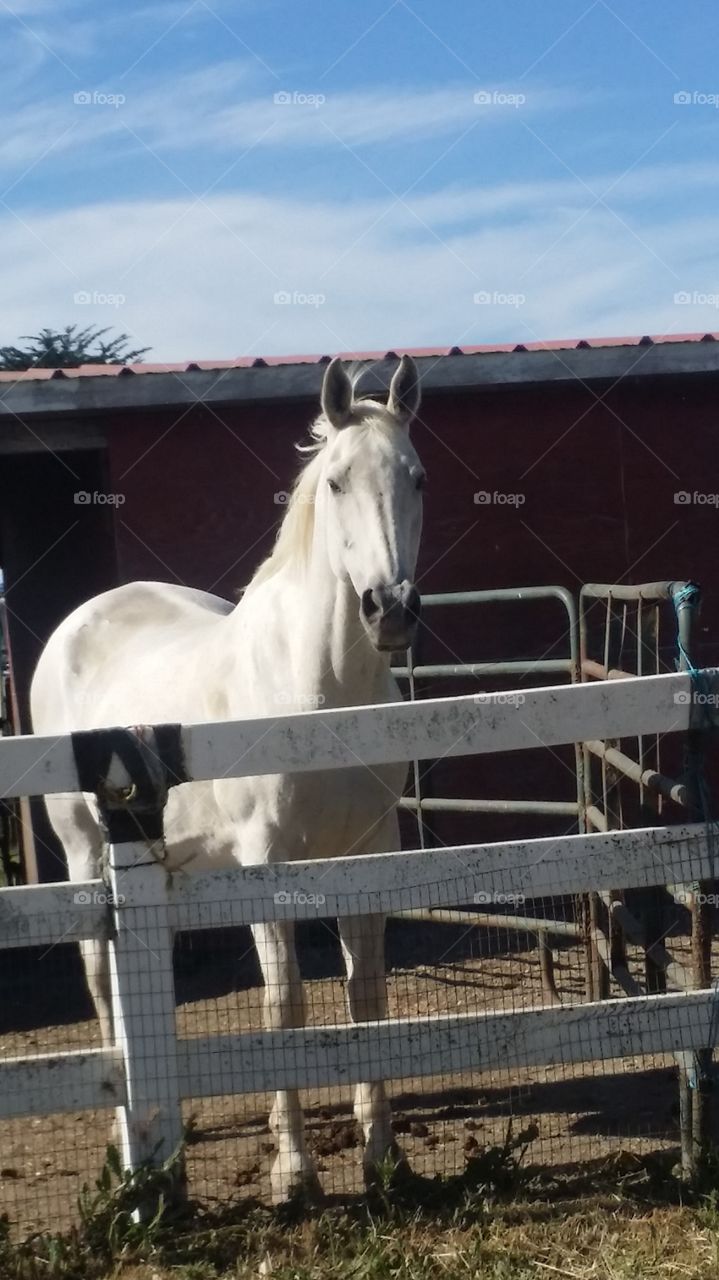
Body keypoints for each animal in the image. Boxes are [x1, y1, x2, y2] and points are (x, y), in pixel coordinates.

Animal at [32, 355, 424, 1203]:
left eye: (416, 476)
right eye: (336, 482)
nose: (390, 610)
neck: (319, 692)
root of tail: (79, 621)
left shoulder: (367, 854)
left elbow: (367, 997)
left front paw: (382, 1158)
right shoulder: (267, 864)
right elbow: (284, 1005)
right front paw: (294, 1173)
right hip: (83, 851)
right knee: (101, 978)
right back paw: (127, 1133)